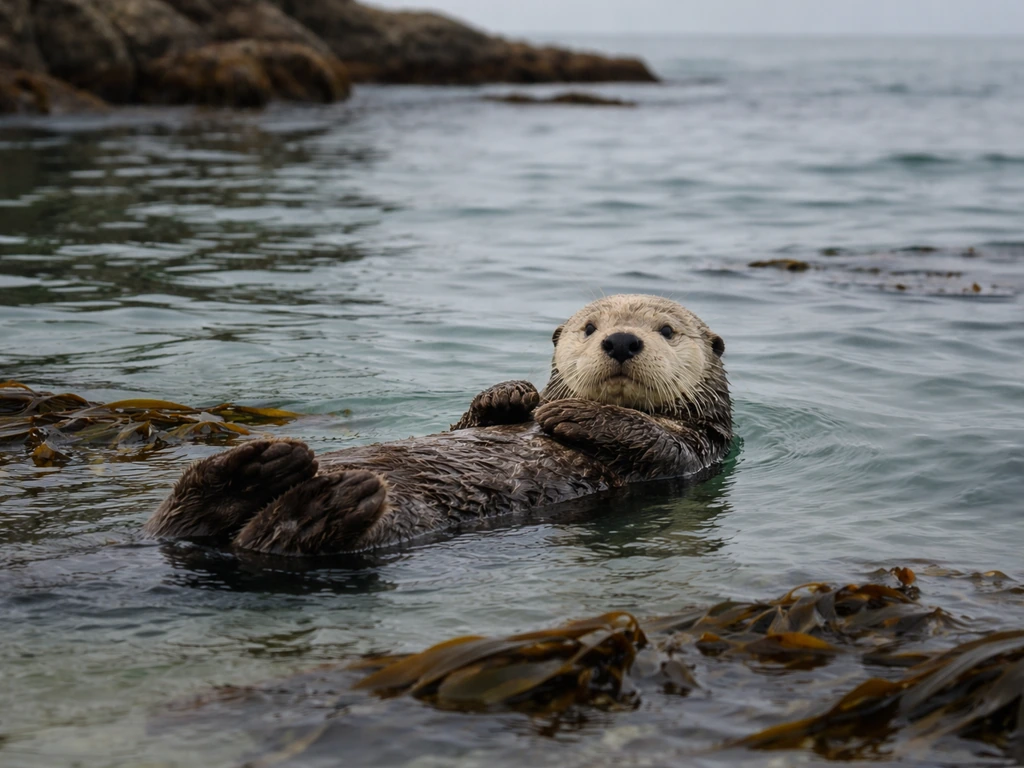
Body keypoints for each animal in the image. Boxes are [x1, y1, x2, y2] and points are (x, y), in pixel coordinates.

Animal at [145, 295, 732, 555]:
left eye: (667, 330)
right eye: (589, 328)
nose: (622, 340)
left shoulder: (699, 449)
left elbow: (656, 441)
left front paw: (567, 413)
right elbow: (465, 423)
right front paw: (512, 395)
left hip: (392, 522)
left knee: (269, 544)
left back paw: (321, 501)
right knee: (178, 525)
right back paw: (259, 467)